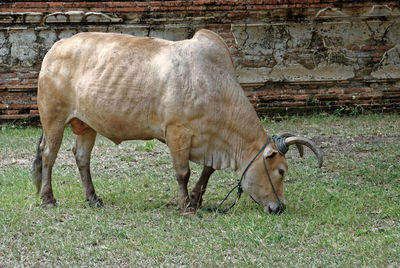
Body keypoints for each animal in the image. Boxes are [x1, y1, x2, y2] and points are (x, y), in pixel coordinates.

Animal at [32, 28, 324, 214]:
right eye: (281, 171)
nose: (279, 208)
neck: (214, 83)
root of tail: (56, 47)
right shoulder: (177, 134)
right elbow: (183, 172)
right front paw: (186, 206)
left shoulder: (209, 140)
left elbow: (207, 170)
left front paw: (196, 199)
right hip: (53, 118)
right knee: (49, 155)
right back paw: (48, 199)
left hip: (86, 124)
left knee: (82, 157)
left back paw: (92, 198)